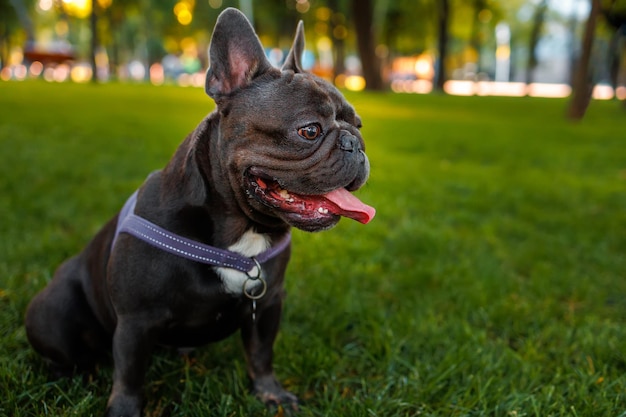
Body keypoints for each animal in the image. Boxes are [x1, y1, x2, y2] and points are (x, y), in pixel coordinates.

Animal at [25, 7, 370, 416]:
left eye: (358, 125)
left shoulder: (268, 304)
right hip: (53, 312)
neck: (242, 232)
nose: (355, 144)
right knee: (67, 352)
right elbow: (129, 375)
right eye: (309, 131)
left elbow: (261, 354)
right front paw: (123, 410)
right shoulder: (135, 321)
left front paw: (271, 394)